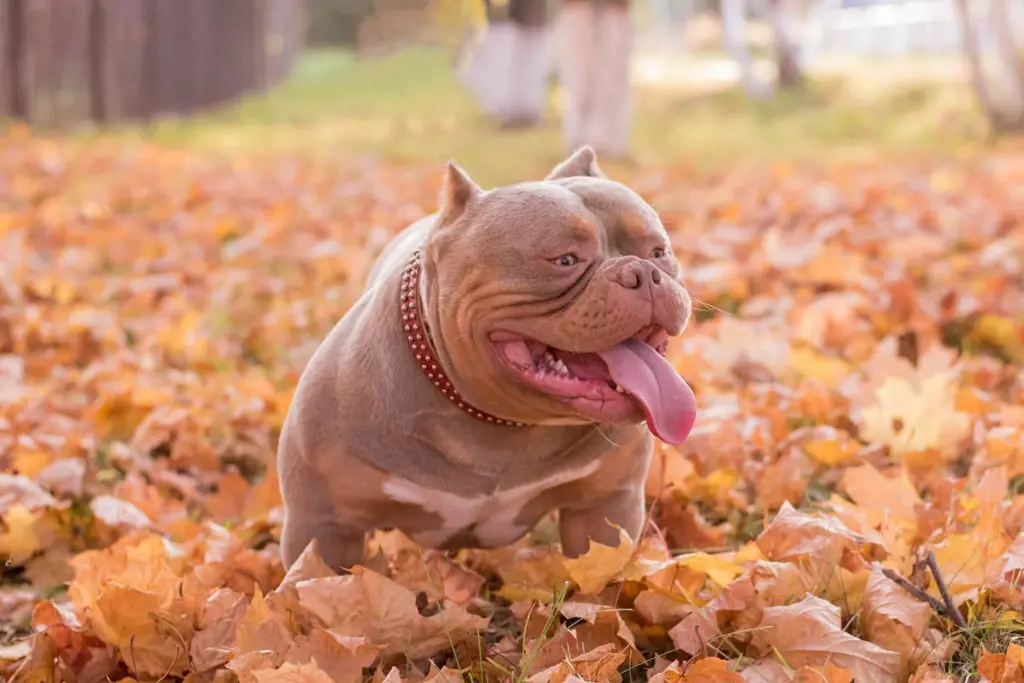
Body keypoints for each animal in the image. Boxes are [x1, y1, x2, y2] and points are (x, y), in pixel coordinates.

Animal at [276, 149, 700, 573]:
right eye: (564, 260)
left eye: (659, 252)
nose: (644, 272)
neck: (499, 423)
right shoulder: (325, 527)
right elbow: (313, 583)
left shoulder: (603, 510)